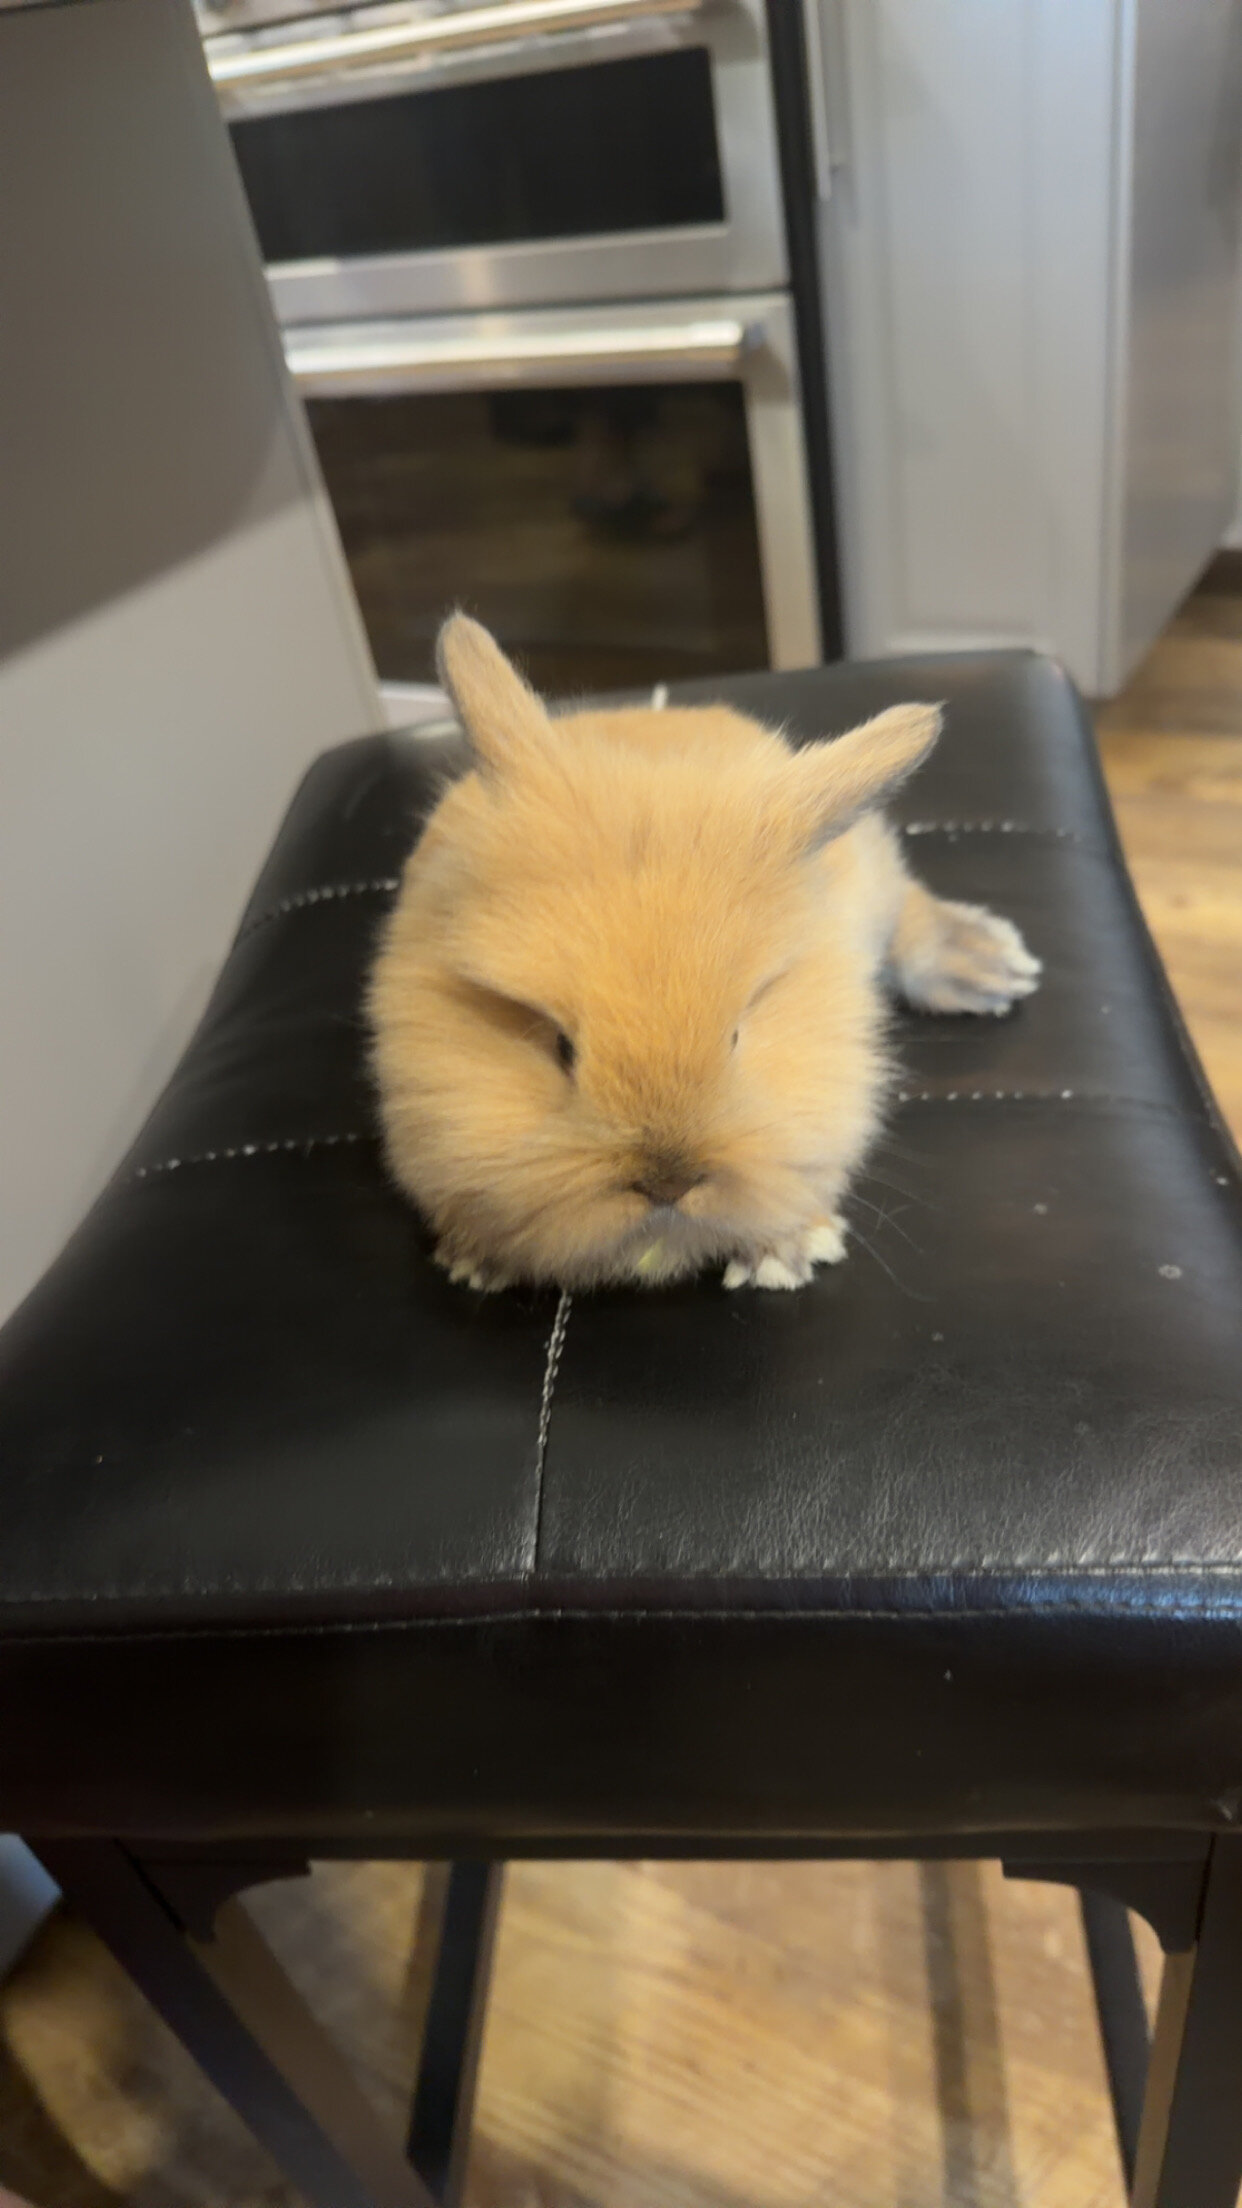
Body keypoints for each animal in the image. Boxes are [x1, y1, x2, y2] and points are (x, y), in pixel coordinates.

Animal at [367, 615, 1040, 1292]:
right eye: (562, 1049)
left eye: (736, 1036)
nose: (669, 1183)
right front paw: (476, 1262)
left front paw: (787, 1255)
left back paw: (987, 963)